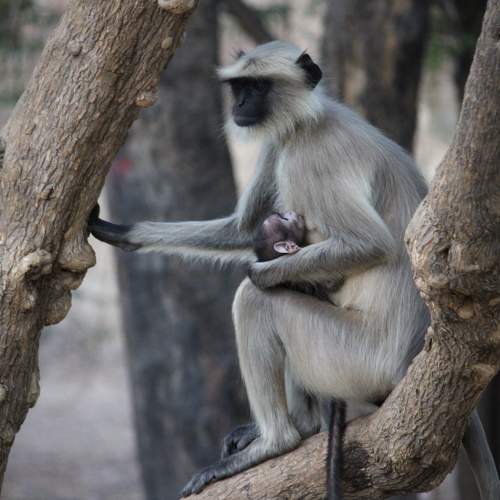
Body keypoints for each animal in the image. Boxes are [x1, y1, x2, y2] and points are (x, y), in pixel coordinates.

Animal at [88, 41, 500, 499]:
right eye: (239, 87)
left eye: (257, 87)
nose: (240, 105)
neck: (310, 117)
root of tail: (408, 362)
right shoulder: (280, 141)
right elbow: (243, 228)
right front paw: (120, 231)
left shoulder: (310, 156)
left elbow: (368, 245)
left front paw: (261, 271)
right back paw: (297, 427)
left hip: (352, 358)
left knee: (257, 302)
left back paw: (278, 440)